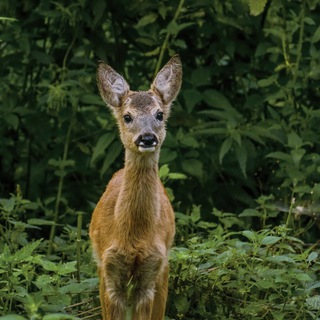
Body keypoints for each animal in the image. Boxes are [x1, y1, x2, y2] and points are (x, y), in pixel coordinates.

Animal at [89, 55, 182, 320]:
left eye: (159, 114)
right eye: (127, 117)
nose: (147, 138)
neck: (134, 236)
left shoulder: (150, 273)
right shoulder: (109, 271)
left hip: (164, 270)